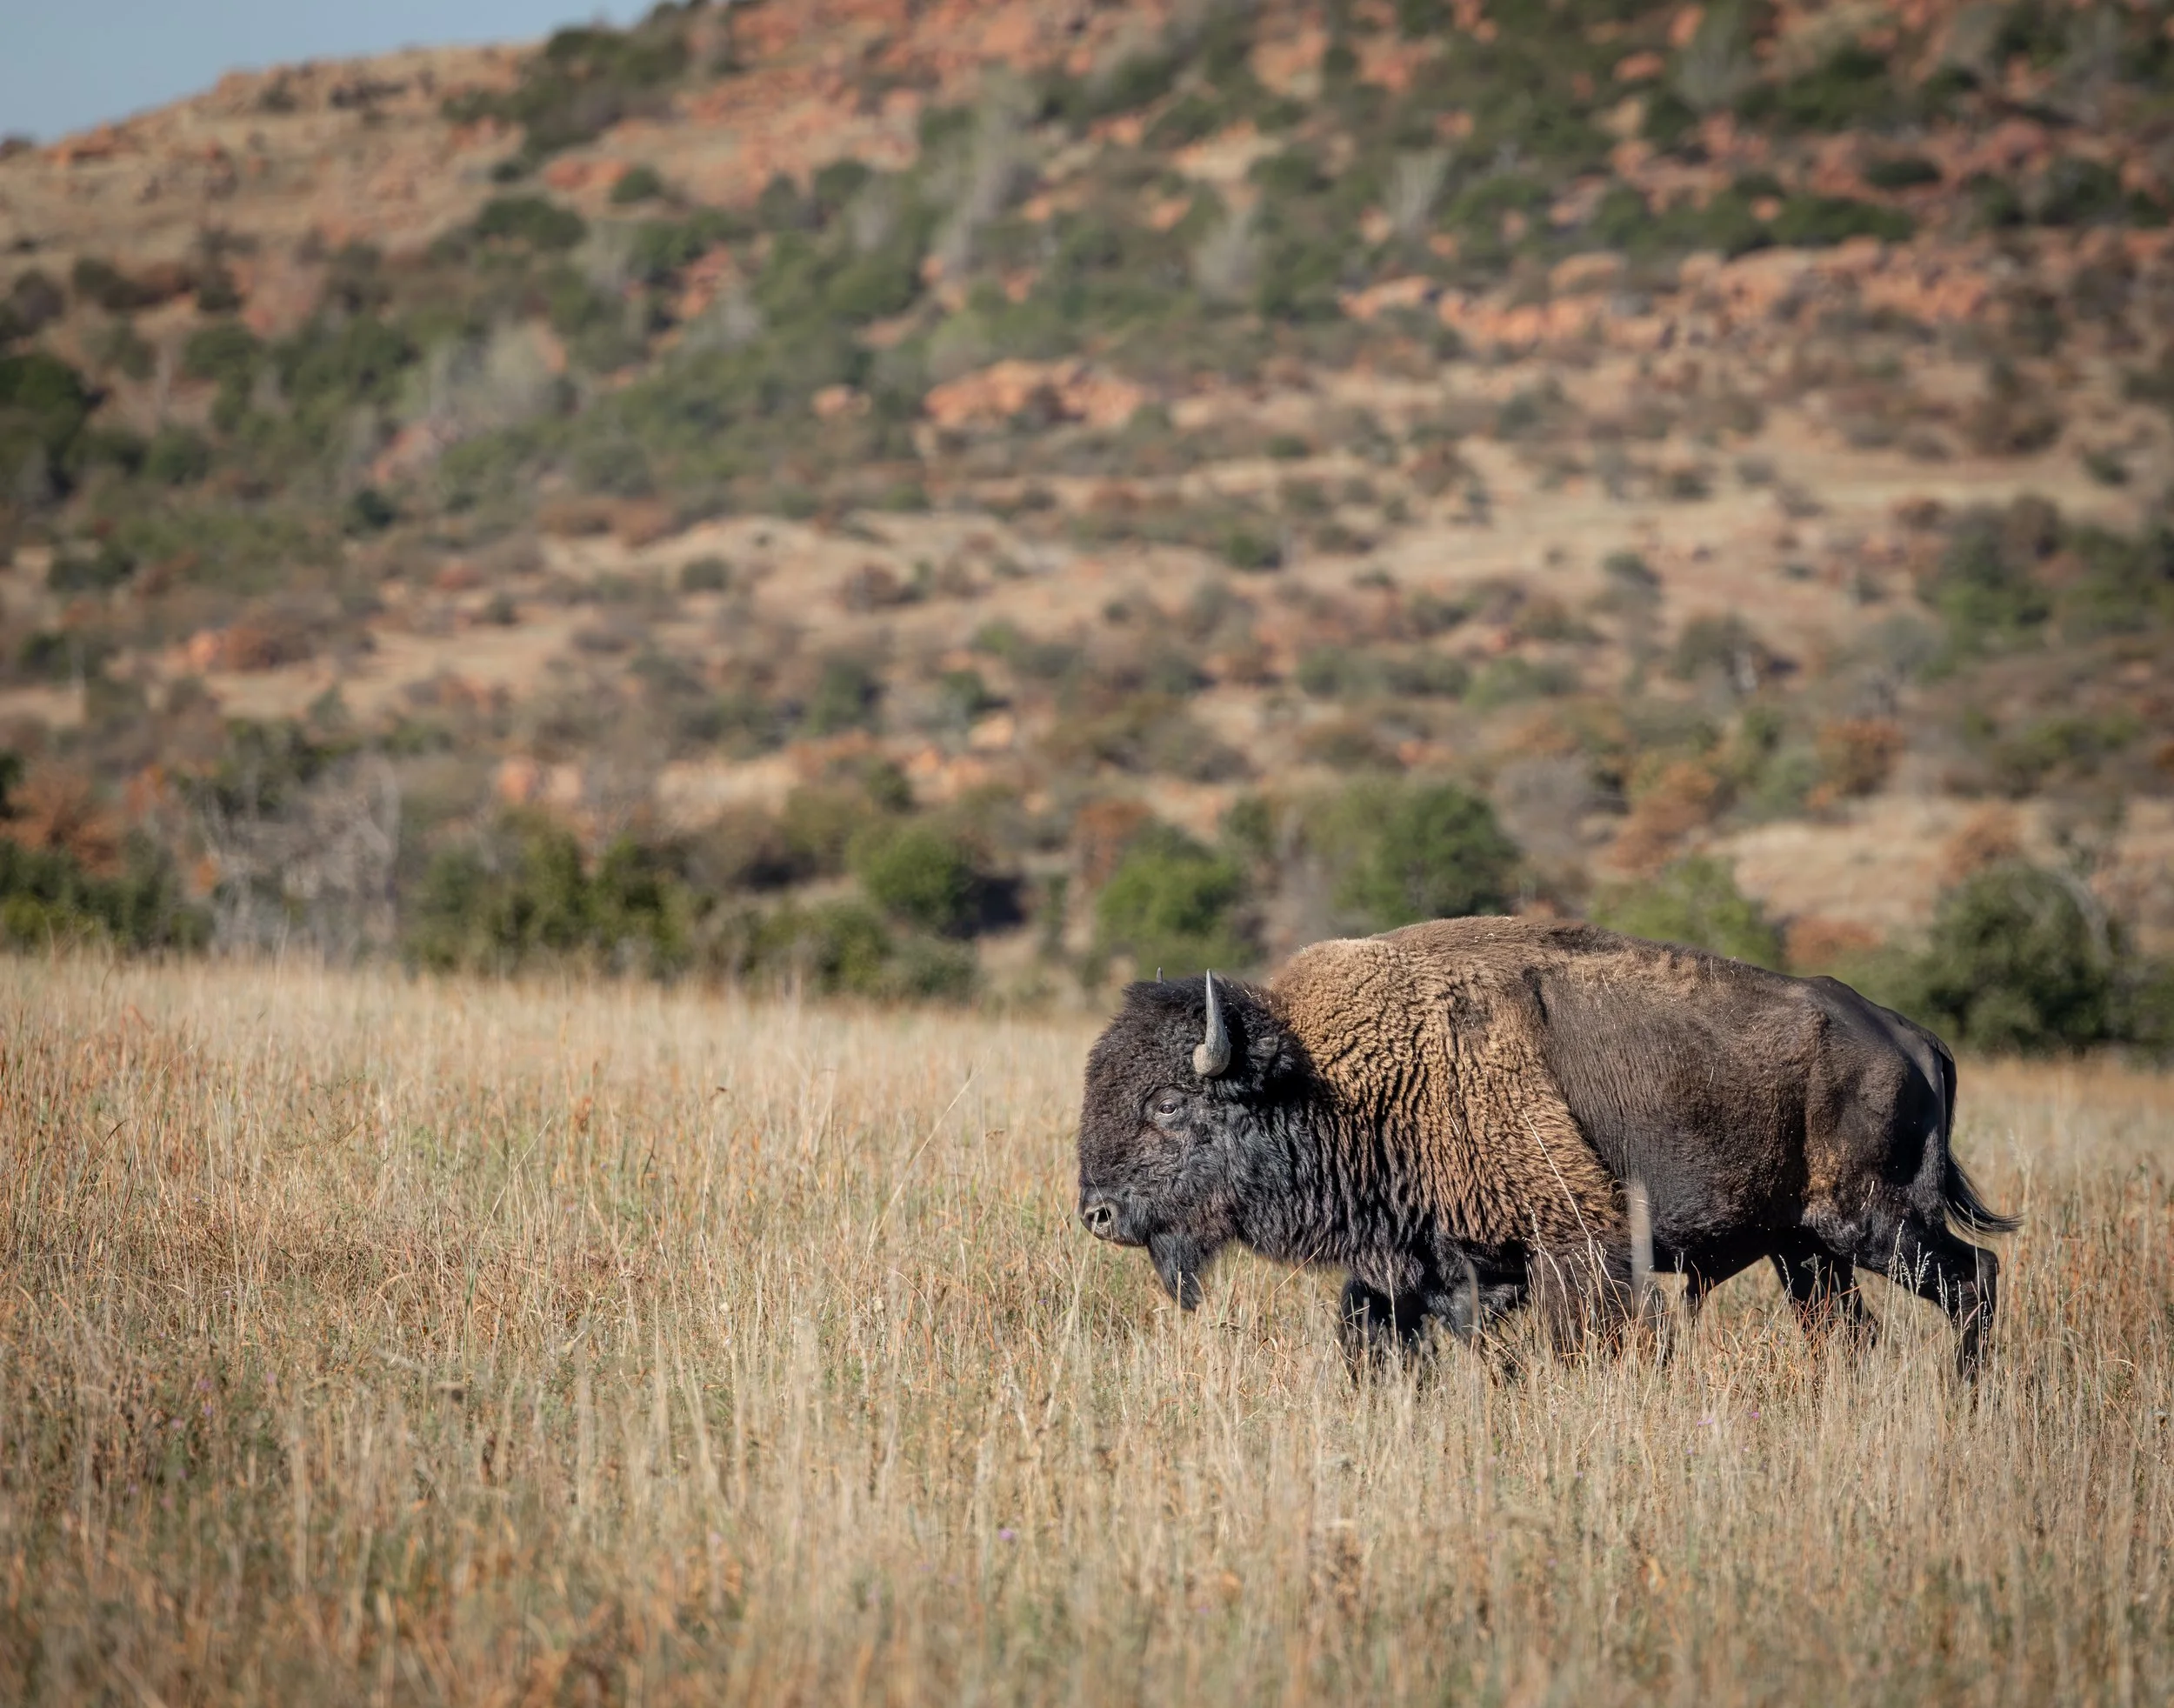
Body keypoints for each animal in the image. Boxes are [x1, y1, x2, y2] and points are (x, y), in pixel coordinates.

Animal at [1076, 918, 2017, 1374]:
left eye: (1167, 1101)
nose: (1097, 1212)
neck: (1332, 1072)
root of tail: (1909, 1037)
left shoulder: (1578, 1251)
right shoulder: (1408, 1270)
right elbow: (1374, 1344)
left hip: (1874, 1221)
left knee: (1974, 1277)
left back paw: (1967, 1395)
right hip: (1805, 1250)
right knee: (1849, 1330)